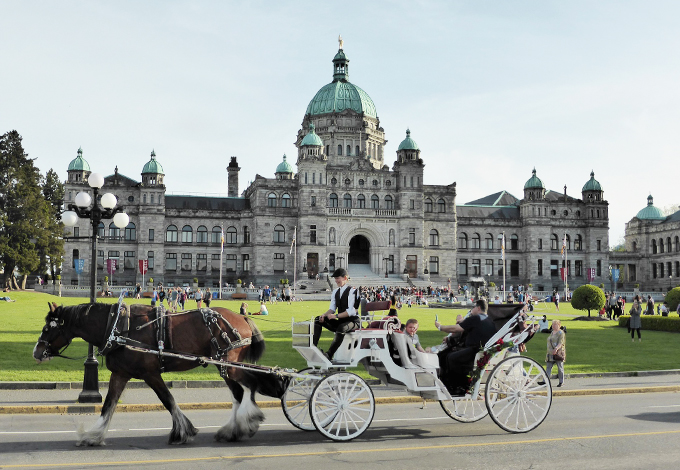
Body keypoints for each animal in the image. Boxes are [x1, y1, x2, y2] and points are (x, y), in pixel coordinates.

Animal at [34, 302, 286, 446]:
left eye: (47, 328)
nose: (36, 351)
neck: (118, 328)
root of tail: (242, 317)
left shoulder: (151, 373)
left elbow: (168, 400)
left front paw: (182, 432)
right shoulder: (121, 374)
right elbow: (108, 405)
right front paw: (94, 436)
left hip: (229, 365)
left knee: (250, 386)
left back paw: (247, 422)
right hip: (224, 366)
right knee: (240, 392)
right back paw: (233, 430)